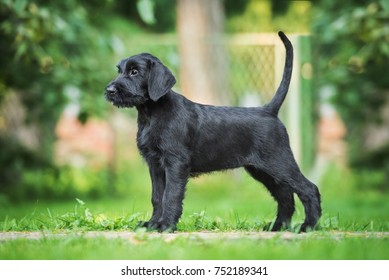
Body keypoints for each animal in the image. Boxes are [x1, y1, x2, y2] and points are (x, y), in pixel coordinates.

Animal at [104, 31, 320, 232]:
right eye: (120, 70)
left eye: (134, 72)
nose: (109, 90)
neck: (152, 112)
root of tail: (269, 110)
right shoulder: (155, 165)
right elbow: (157, 197)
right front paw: (151, 224)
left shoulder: (175, 163)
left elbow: (170, 195)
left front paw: (166, 225)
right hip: (261, 170)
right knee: (285, 195)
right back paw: (278, 226)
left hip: (280, 162)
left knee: (308, 188)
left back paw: (308, 226)